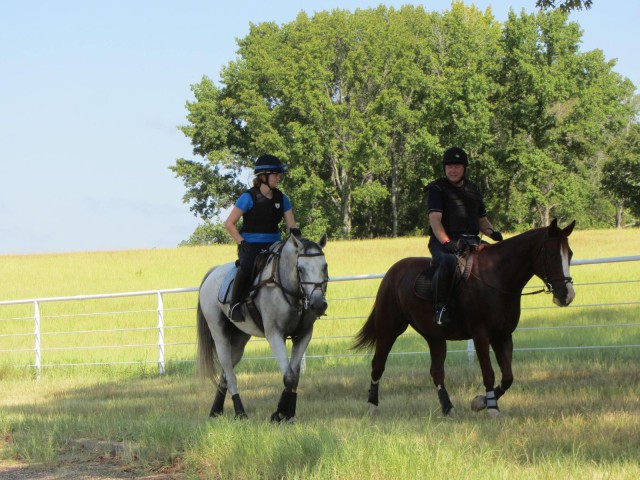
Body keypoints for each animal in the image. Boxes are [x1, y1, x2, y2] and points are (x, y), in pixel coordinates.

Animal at [196, 234, 328, 422]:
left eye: (325, 267)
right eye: (300, 269)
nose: (318, 305)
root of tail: (213, 272)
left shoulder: (303, 336)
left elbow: (295, 377)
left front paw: (289, 414)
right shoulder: (275, 336)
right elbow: (289, 377)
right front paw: (279, 413)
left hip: (239, 339)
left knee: (225, 374)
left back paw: (216, 411)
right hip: (220, 336)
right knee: (230, 374)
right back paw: (240, 412)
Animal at [356, 219, 576, 414]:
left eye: (570, 254)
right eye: (552, 255)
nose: (567, 295)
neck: (496, 276)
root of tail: (393, 272)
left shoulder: (503, 335)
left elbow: (508, 377)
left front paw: (480, 402)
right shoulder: (481, 335)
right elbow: (488, 372)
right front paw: (492, 407)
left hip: (435, 337)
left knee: (436, 372)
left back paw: (448, 408)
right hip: (388, 329)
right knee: (378, 364)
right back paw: (372, 405)